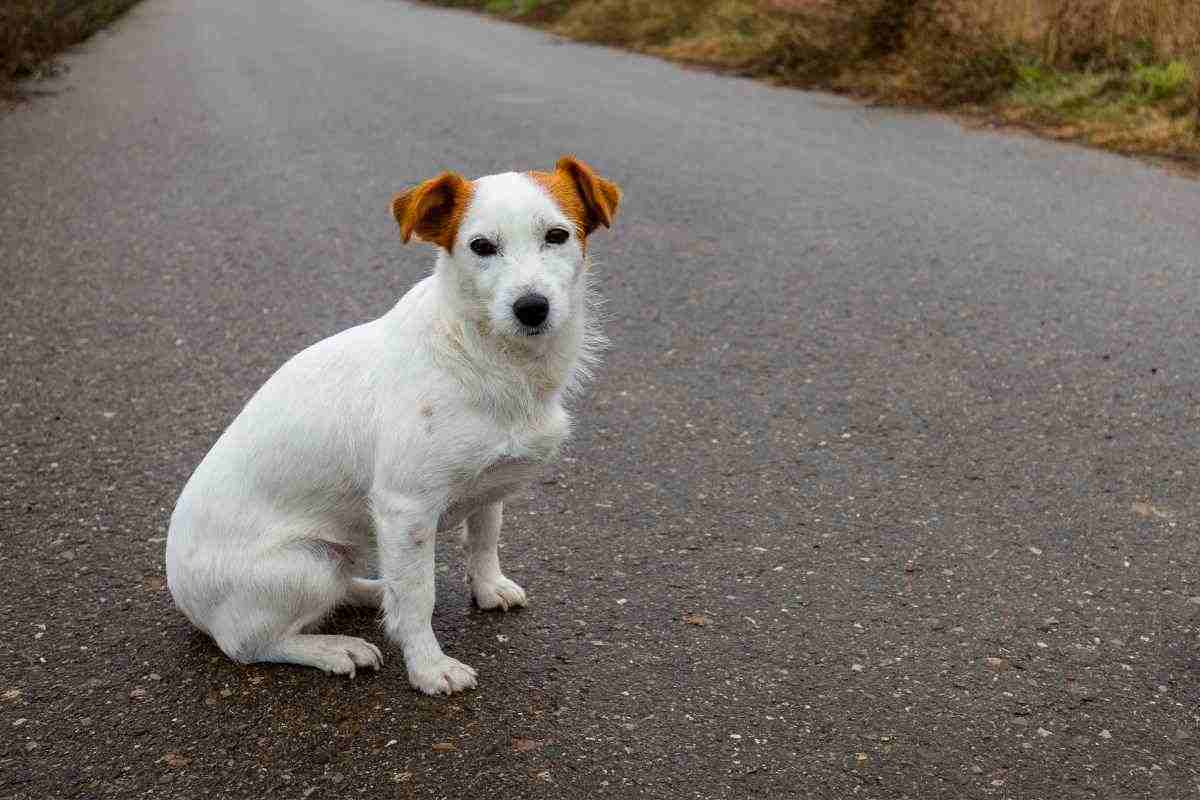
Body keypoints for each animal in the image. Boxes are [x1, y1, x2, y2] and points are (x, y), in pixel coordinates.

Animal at [165, 155, 624, 695]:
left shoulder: (489, 487)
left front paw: (487, 587)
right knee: (247, 643)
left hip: (336, 558)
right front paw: (428, 668)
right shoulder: (406, 509)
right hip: (308, 565)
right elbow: (418, 597)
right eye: (481, 246)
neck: (487, 356)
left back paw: (371, 592)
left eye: (557, 235)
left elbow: (484, 538)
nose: (532, 308)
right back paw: (333, 648)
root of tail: (183, 597)